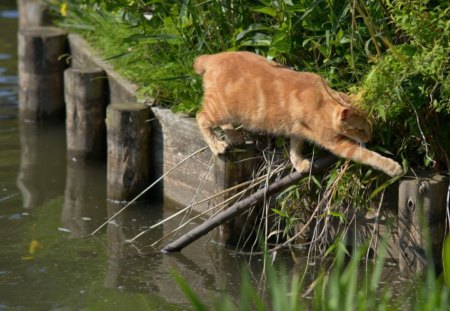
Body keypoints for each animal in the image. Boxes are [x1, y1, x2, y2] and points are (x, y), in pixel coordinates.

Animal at [194, 51, 404, 178]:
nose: (369, 138)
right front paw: (392, 166)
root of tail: (212, 57)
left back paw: (234, 136)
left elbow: (295, 147)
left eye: (370, 126)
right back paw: (217, 144)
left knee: (222, 123)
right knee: (201, 117)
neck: (323, 101)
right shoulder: (336, 143)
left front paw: (298, 163)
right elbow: (368, 155)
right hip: (221, 109)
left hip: (231, 113)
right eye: (360, 130)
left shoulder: (297, 130)